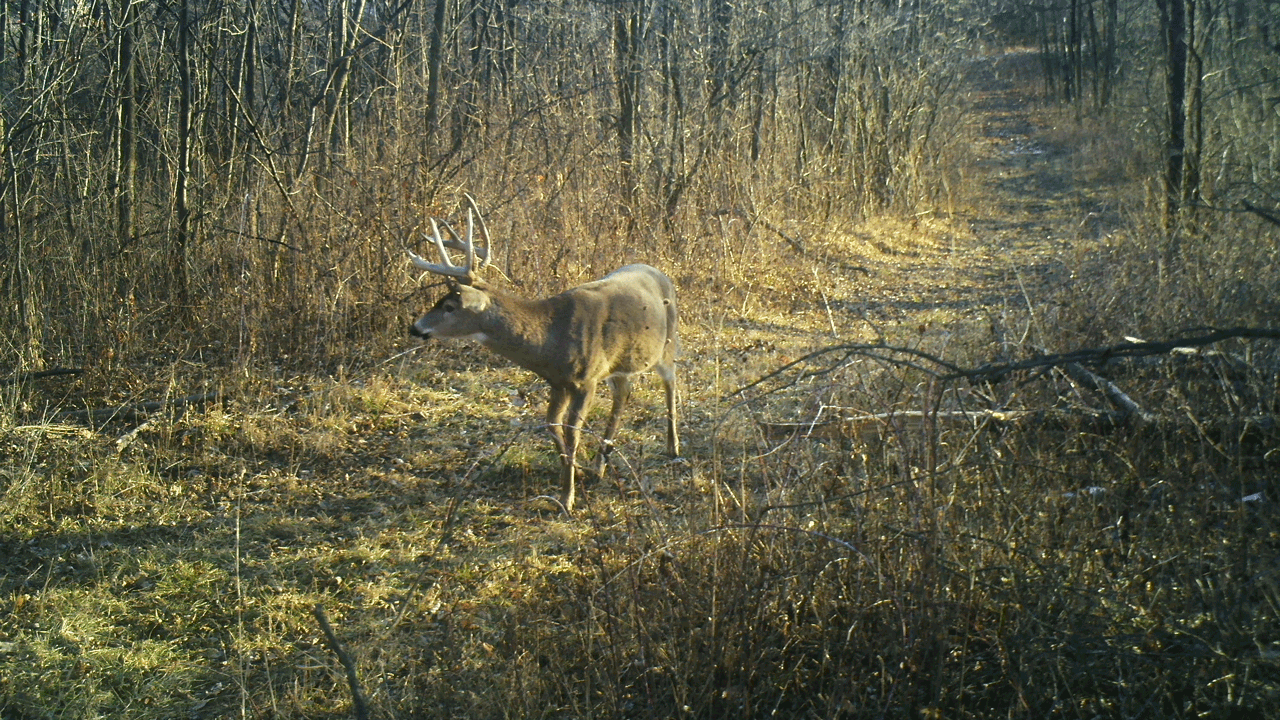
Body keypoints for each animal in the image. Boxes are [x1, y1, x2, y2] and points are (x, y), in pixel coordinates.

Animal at [407, 198, 680, 514]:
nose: (415, 328)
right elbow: (552, 424)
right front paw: (576, 471)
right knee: (623, 394)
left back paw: (672, 446)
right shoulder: (559, 382)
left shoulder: (586, 379)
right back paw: (600, 463)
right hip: (620, 363)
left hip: (667, 342)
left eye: (450, 306)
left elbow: (572, 432)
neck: (550, 339)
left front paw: (567, 497)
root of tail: (661, 273)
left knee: (671, 384)